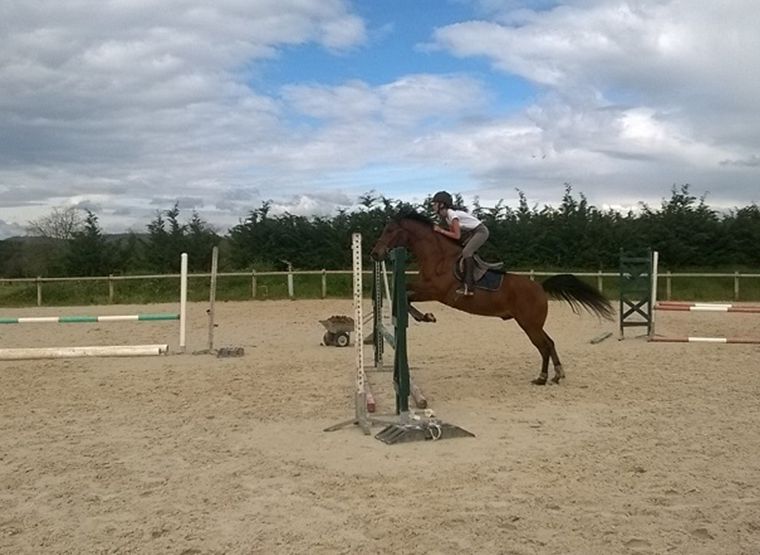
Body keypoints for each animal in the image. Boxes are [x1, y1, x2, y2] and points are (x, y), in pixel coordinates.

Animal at [370, 211, 616, 384]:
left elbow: (407, 294)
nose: (375, 253)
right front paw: (425, 316)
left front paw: (426, 316)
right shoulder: (425, 287)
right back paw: (557, 374)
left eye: (390, 230)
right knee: (550, 342)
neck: (438, 257)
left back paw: (542, 378)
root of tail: (539, 287)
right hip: (532, 324)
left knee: (544, 345)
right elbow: (406, 292)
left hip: (529, 324)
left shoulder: (435, 291)